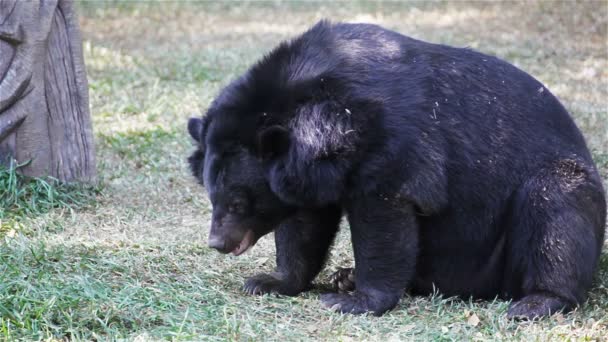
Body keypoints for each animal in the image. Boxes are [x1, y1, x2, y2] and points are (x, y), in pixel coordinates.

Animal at [188, 20, 604, 318]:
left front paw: (355, 302)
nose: (218, 243)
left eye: (239, 203)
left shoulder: (392, 143)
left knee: (555, 215)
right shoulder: (311, 171)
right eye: (212, 197)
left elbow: (385, 216)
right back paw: (344, 276)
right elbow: (304, 223)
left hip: (553, 192)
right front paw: (269, 281)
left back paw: (535, 302)